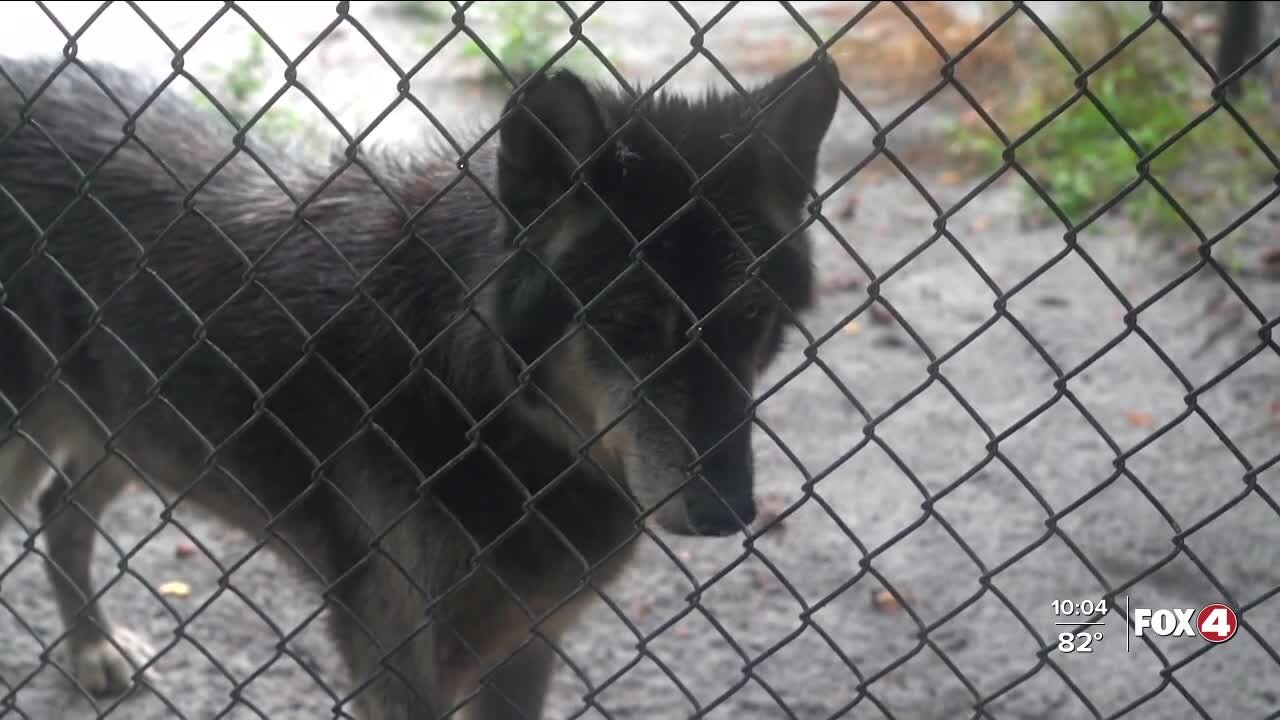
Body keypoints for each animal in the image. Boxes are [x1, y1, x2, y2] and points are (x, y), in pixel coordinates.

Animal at [0, 47, 844, 712]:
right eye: (630, 319)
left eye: (749, 314)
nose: (727, 513)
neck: (474, 401)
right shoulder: (394, 660)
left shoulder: (525, 649)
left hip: (131, 433)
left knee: (61, 509)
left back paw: (92, 648)